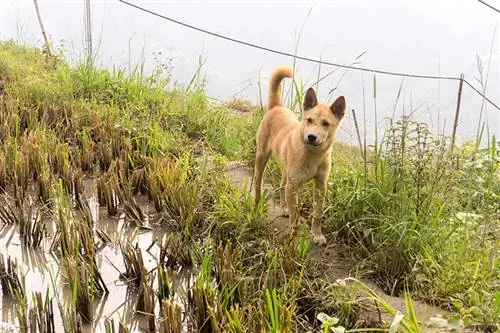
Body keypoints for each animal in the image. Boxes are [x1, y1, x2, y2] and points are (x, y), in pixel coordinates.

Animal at [252, 65, 346, 244]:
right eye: (309, 120)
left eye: (325, 124)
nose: (311, 137)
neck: (312, 155)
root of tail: (276, 107)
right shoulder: (293, 185)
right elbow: (295, 215)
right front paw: (294, 238)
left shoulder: (321, 186)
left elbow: (318, 213)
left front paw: (317, 234)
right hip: (262, 157)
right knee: (258, 182)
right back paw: (257, 203)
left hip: (286, 170)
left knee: (282, 185)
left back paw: (283, 207)